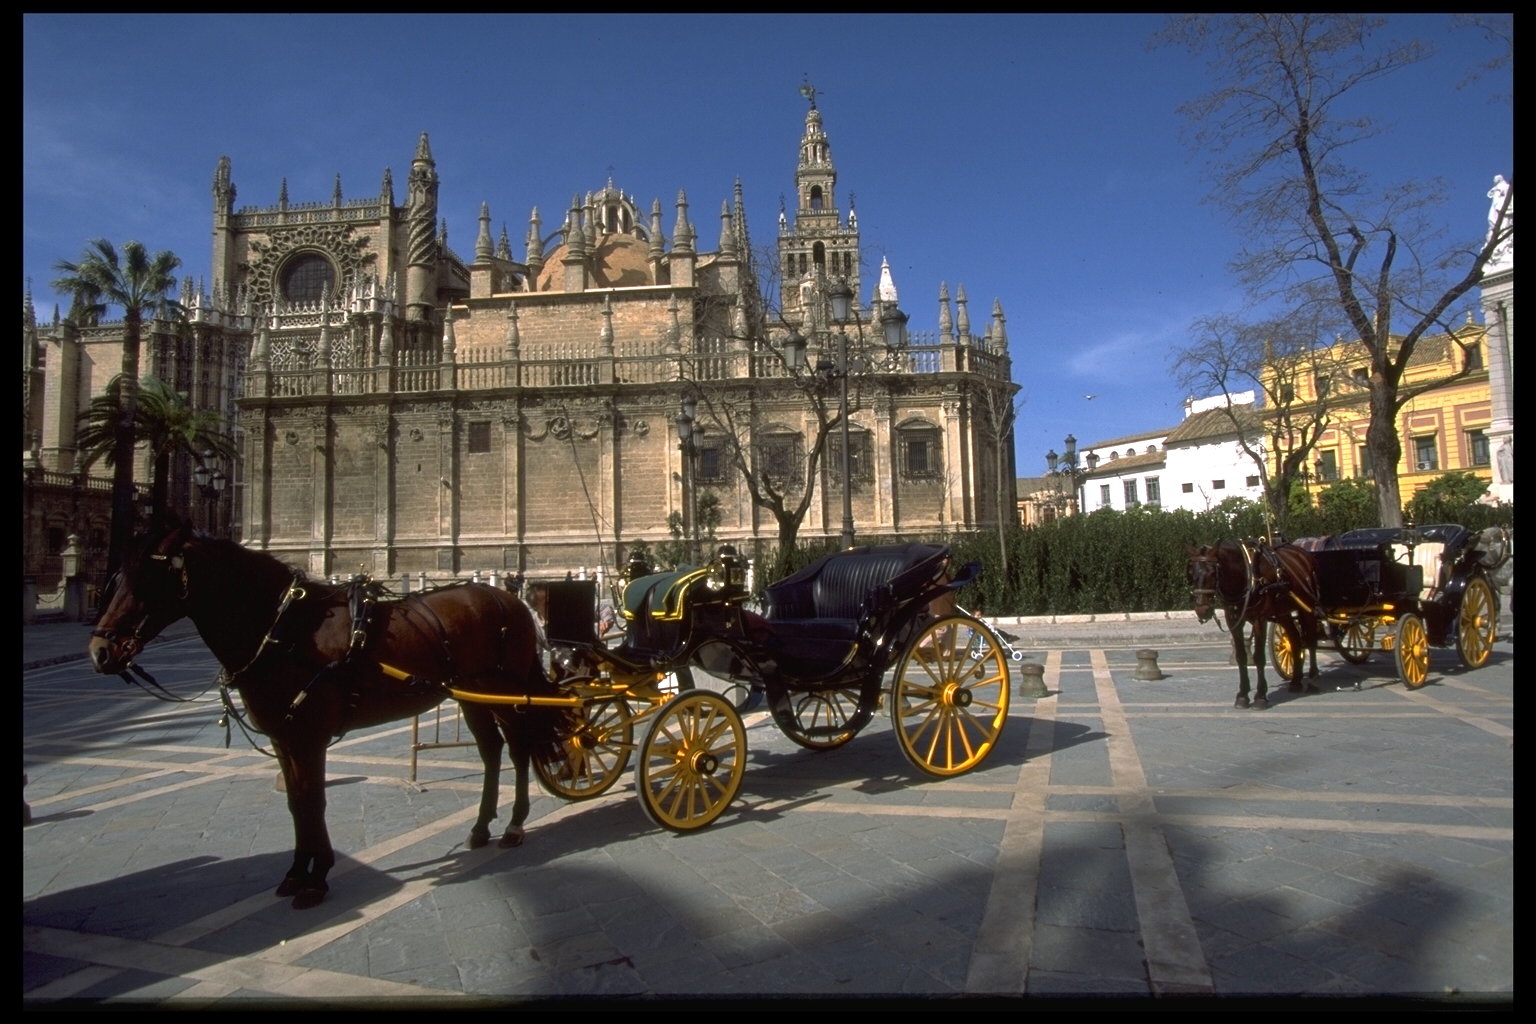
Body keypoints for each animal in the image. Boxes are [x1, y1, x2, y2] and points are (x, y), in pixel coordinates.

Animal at [88, 515, 565, 908]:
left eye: (149, 578)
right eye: (116, 578)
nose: (101, 651)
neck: (284, 630)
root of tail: (511, 600)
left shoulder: (309, 736)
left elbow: (313, 800)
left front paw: (315, 880)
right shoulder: (284, 737)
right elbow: (296, 802)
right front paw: (297, 873)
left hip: (505, 688)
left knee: (519, 747)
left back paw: (514, 827)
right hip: (472, 694)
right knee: (491, 751)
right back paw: (482, 827)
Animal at [1185, 540, 1320, 709]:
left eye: (1212, 573)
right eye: (1191, 574)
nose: (1202, 610)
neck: (1247, 576)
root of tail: (1303, 554)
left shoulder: (1259, 619)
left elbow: (1259, 657)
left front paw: (1261, 696)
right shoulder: (1233, 620)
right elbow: (1241, 657)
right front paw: (1242, 695)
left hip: (1307, 607)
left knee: (1311, 640)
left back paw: (1313, 680)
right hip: (1283, 613)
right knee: (1295, 639)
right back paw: (1296, 681)